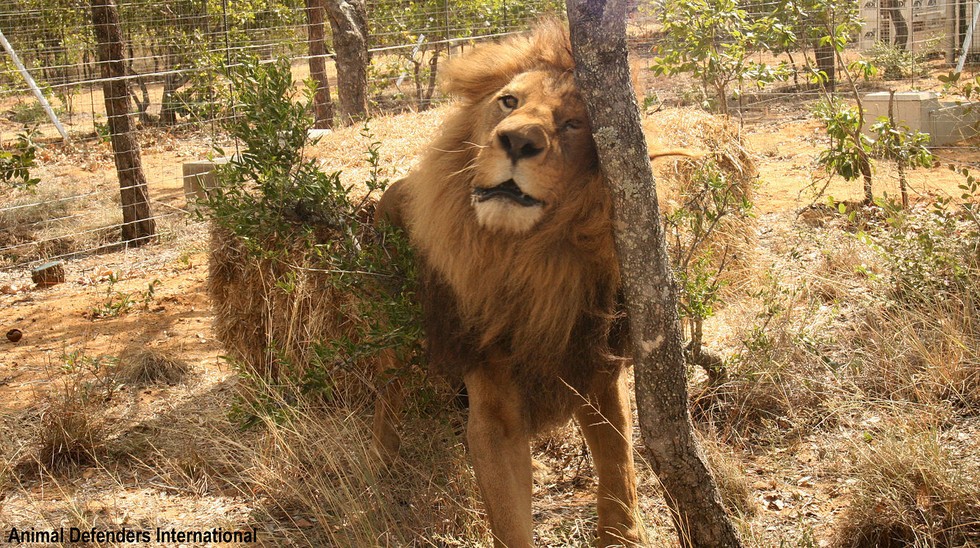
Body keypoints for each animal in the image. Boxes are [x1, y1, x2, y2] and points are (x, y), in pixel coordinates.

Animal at [373, 22, 644, 547]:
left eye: (574, 123)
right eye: (509, 102)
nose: (517, 141)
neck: (527, 260)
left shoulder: (596, 368)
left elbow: (620, 472)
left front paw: (625, 532)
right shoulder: (494, 406)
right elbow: (510, 517)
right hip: (397, 333)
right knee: (385, 392)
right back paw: (382, 466)